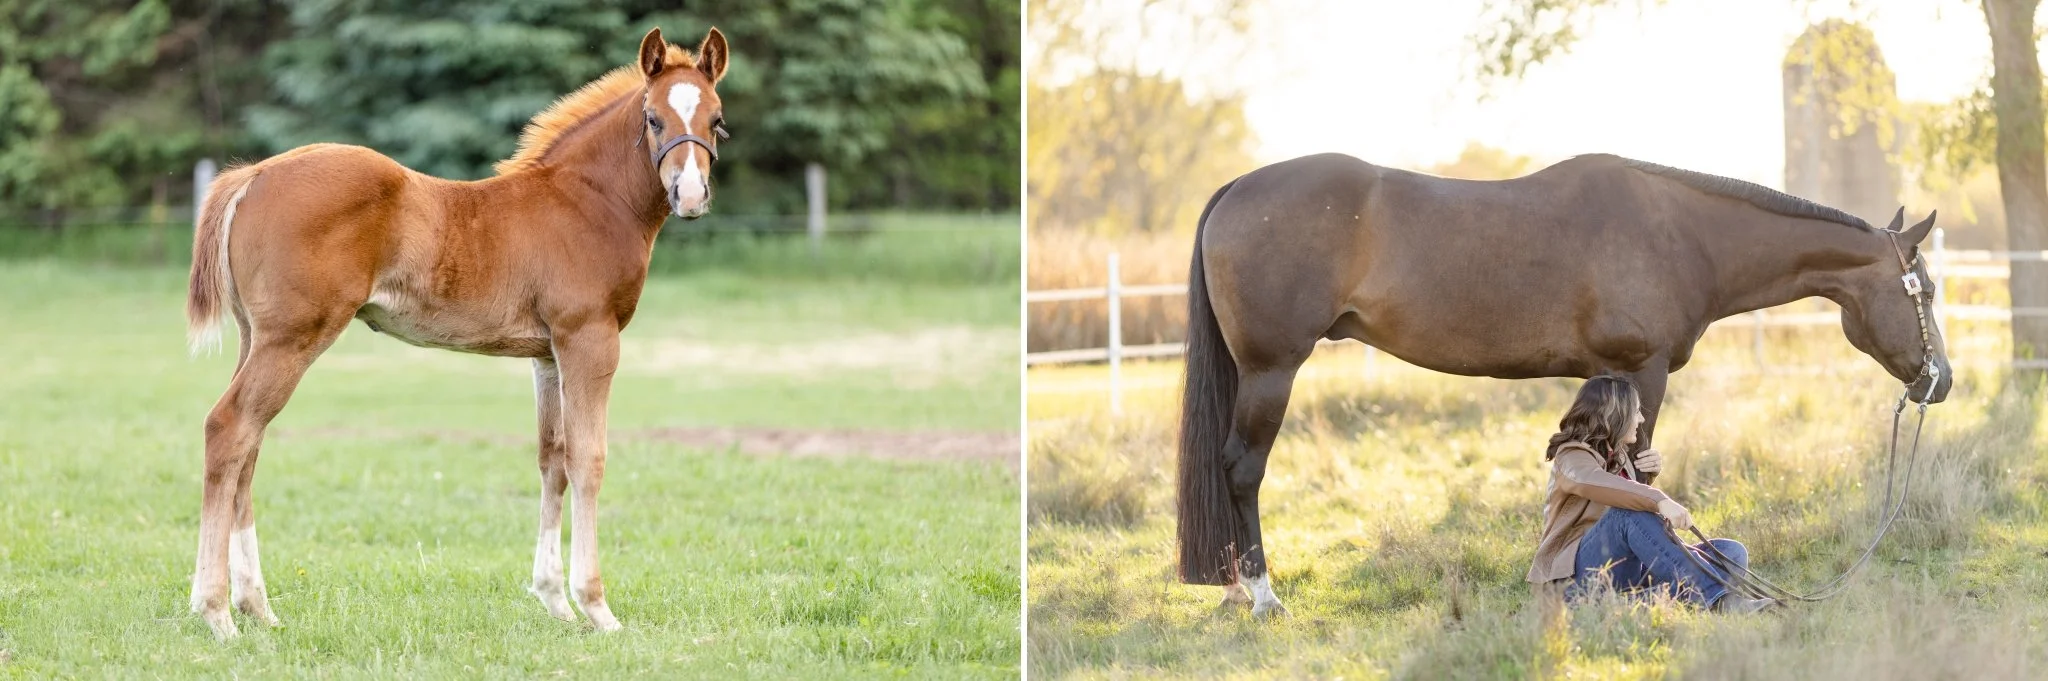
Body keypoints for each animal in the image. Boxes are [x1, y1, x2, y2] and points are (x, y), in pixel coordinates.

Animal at [181, 27, 729, 639]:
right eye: (653, 118)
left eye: (716, 120)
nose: (690, 195)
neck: (587, 201)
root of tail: (251, 175)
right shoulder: (589, 339)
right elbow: (588, 460)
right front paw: (596, 607)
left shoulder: (547, 355)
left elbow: (552, 459)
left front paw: (554, 600)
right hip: (293, 338)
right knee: (229, 429)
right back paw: (216, 611)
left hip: (257, 336)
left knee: (249, 446)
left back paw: (256, 605)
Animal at [1175, 152, 1952, 617]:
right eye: (1926, 289)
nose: (1939, 381)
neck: (1681, 234)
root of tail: (1236, 188)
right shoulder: (1642, 372)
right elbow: (1640, 480)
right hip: (1272, 369)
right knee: (1242, 469)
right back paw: (1261, 595)